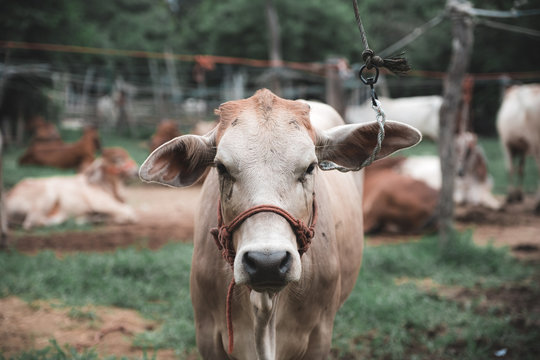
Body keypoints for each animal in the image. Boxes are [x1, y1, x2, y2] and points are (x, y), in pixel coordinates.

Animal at [7, 147, 138, 229]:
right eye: (118, 158)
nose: (136, 172)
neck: (102, 185)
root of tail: (10, 194)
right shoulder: (103, 203)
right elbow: (129, 212)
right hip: (46, 198)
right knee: (31, 223)